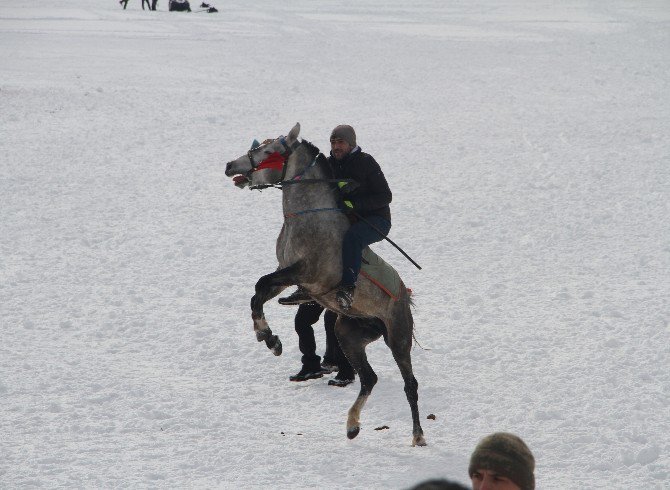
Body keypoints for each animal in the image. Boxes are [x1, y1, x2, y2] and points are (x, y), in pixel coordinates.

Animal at [223, 123, 428, 448]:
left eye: (269, 151)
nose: (231, 166)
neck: (308, 217)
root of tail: (404, 297)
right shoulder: (288, 275)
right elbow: (258, 294)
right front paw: (270, 339)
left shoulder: (304, 273)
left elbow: (260, 285)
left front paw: (269, 338)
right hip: (349, 334)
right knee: (368, 378)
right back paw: (352, 426)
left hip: (398, 338)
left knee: (410, 384)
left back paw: (418, 435)